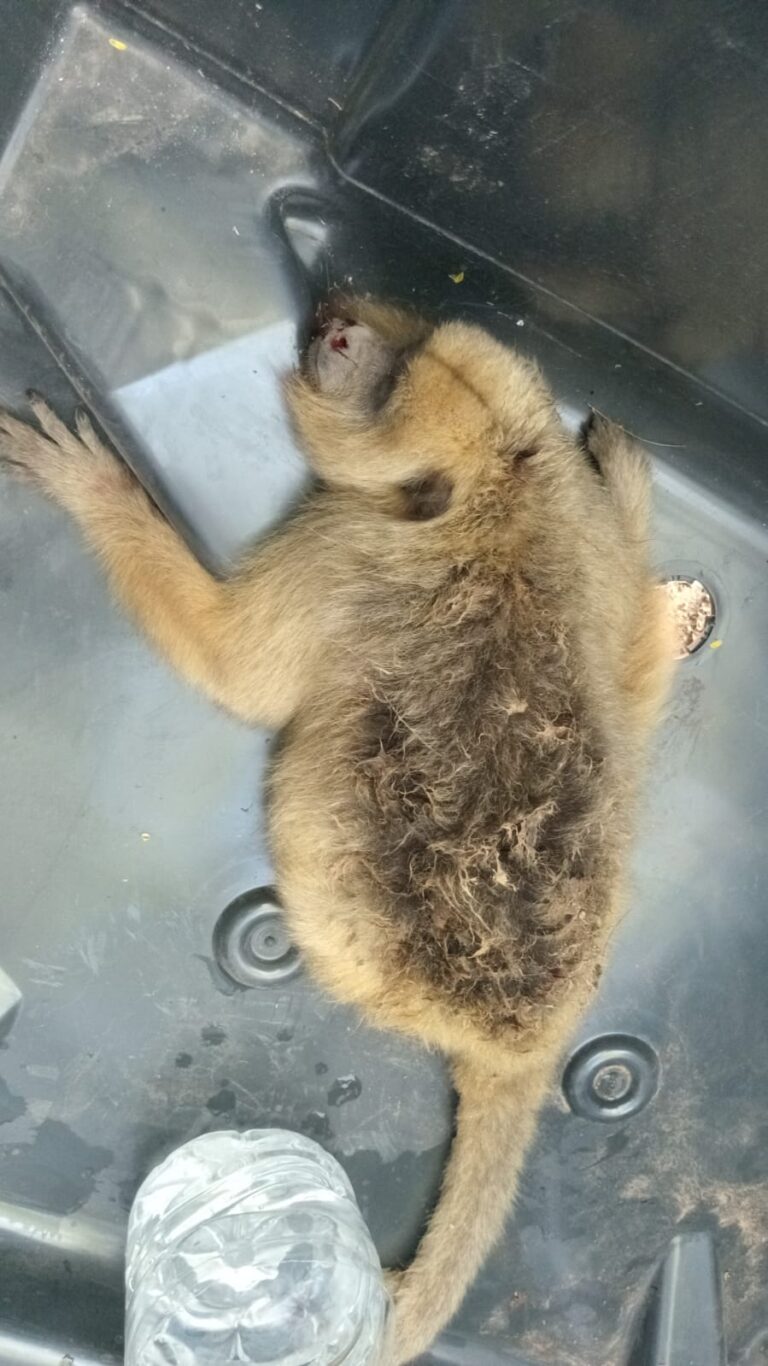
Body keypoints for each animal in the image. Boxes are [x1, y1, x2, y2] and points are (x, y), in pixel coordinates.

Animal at [0, 299, 675, 1364]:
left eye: (385, 378)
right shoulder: (586, 543)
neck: (507, 479)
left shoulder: (345, 549)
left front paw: (93, 486)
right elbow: (627, 651)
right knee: (636, 695)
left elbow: (236, 667)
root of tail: (529, 1037)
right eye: (401, 342)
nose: (339, 322)